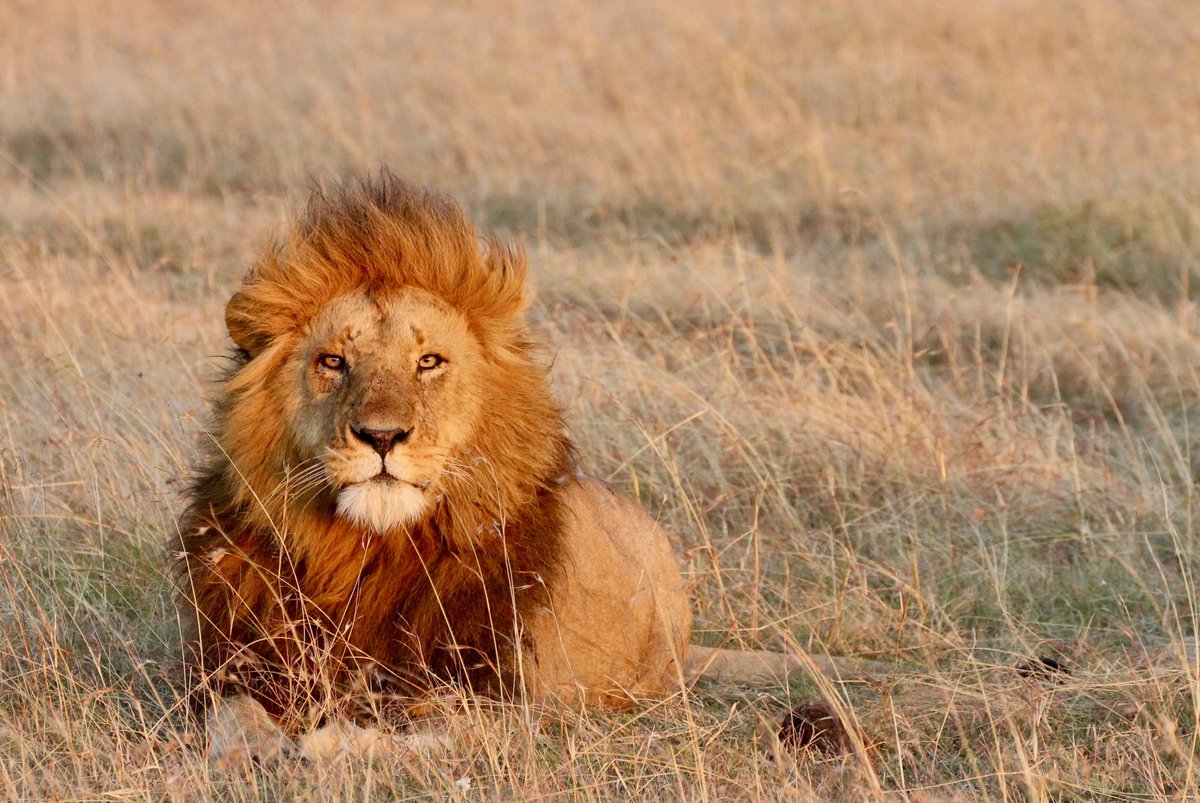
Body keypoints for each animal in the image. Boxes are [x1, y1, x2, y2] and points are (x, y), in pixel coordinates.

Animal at [176, 172, 877, 763]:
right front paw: (256, 751)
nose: (382, 437)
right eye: (332, 362)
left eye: (428, 362)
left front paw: (323, 747)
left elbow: (402, 736)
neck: (362, 553)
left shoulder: (502, 701)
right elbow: (232, 718)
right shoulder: (238, 665)